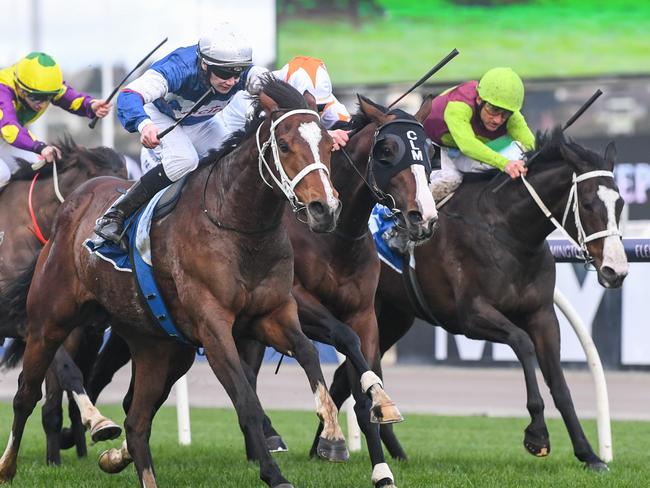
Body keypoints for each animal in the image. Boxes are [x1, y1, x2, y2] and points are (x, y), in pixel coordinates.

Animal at [0, 138, 126, 466]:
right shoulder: (32, 324)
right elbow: (68, 372)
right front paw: (98, 421)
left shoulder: (69, 329)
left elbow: (57, 395)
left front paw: (57, 458)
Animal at [240, 95, 438, 488]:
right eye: (387, 150)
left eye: (429, 150)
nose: (423, 217)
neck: (335, 237)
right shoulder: (298, 306)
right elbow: (345, 339)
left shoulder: (366, 315)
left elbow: (362, 385)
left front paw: (381, 466)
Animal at [326, 127, 624, 470]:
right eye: (587, 204)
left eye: (620, 203)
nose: (616, 270)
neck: (509, 232)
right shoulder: (470, 316)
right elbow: (522, 343)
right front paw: (537, 434)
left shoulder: (542, 315)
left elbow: (559, 384)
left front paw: (589, 454)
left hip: (391, 318)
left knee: (345, 377)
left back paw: (344, 448)